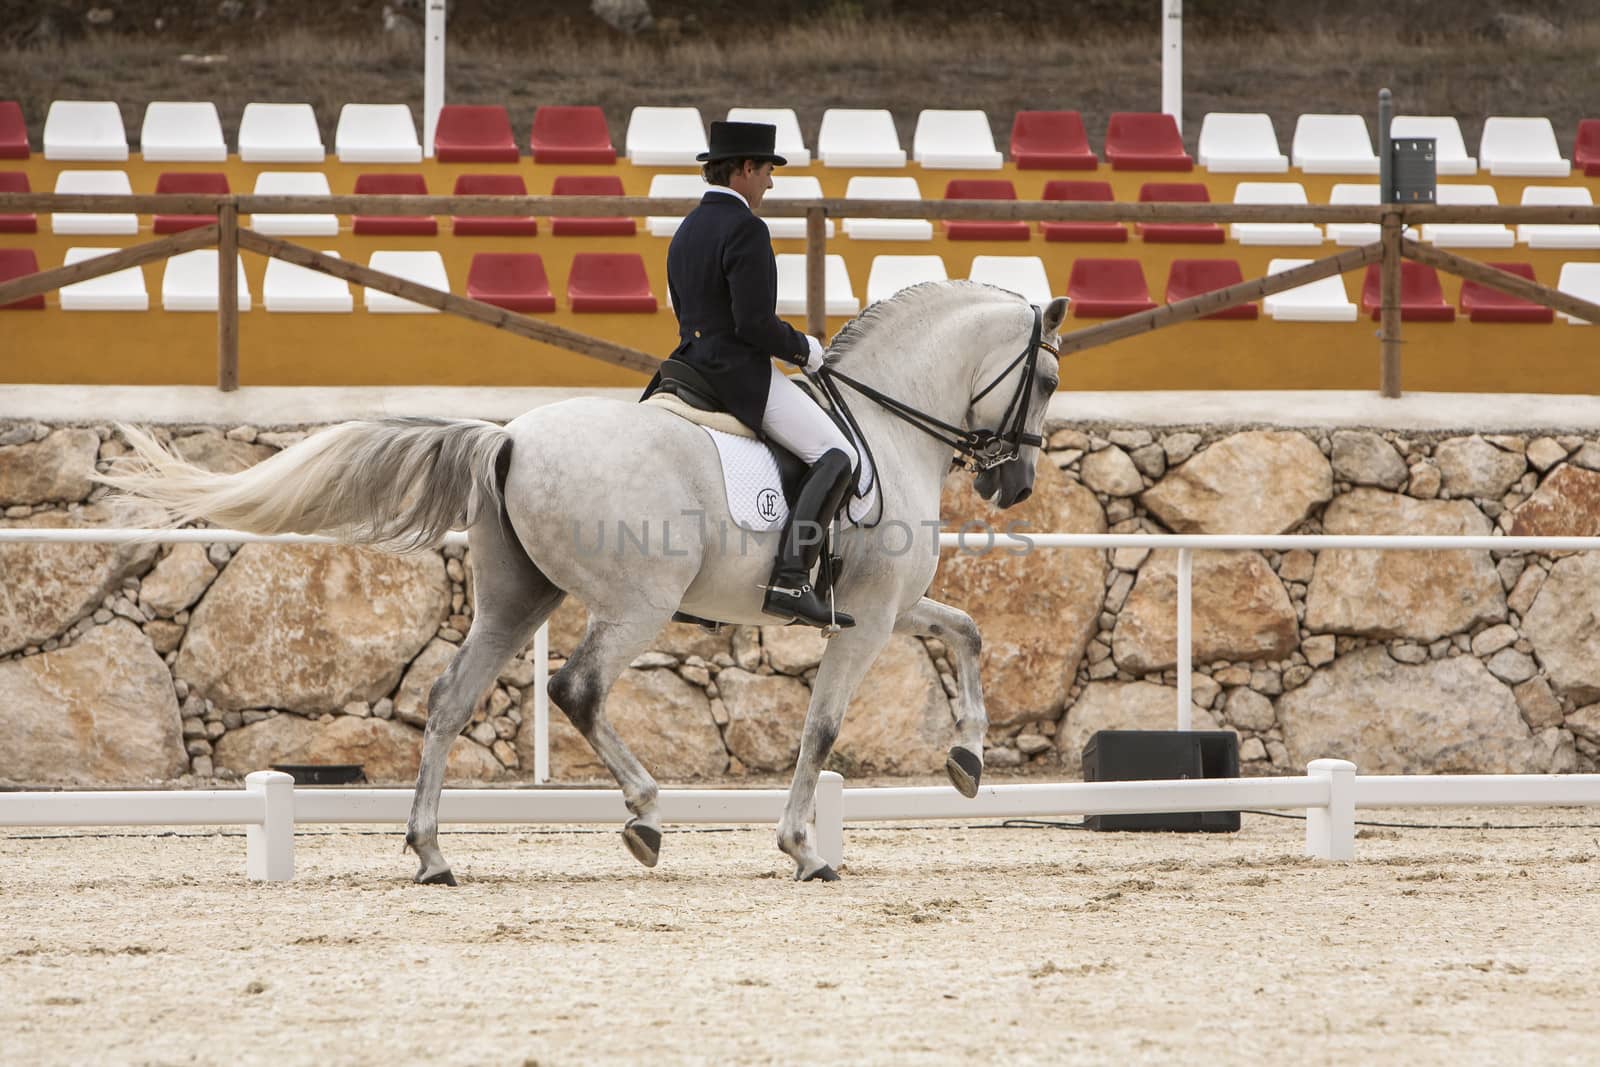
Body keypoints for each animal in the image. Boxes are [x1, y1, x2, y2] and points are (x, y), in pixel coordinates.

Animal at [109, 281, 1062, 883]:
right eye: (1048, 377)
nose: (1012, 487)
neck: (884, 425)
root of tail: (508, 436)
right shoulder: (865, 615)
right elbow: (823, 728)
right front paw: (803, 848)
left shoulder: (885, 608)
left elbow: (968, 628)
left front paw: (969, 758)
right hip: (637, 603)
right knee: (577, 688)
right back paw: (643, 813)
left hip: (516, 597)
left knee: (452, 699)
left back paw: (432, 853)